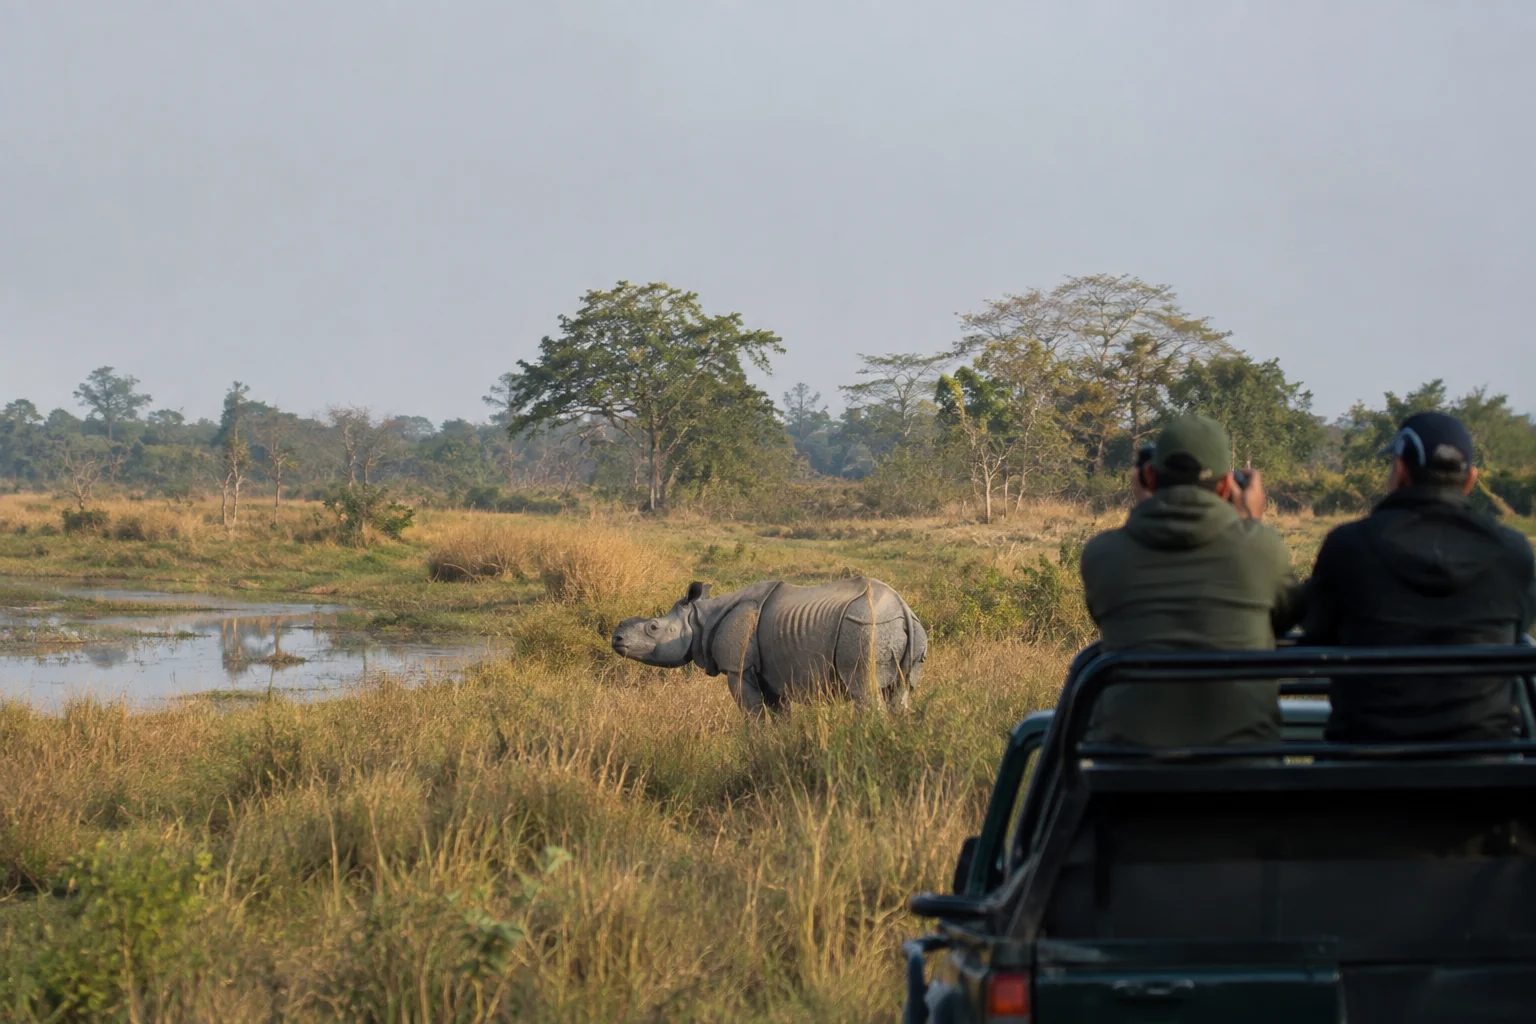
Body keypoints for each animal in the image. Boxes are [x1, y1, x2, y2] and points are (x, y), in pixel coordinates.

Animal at [610, 577, 928, 714]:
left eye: (652, 627)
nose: (617, 638)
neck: (702, 617)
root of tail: (902, 605)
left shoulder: (738, 668)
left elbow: (753, 712)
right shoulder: (773, 674)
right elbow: (780, 714)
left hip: (865, 626)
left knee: (865, 690)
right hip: (904, 628)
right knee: (900, 692)